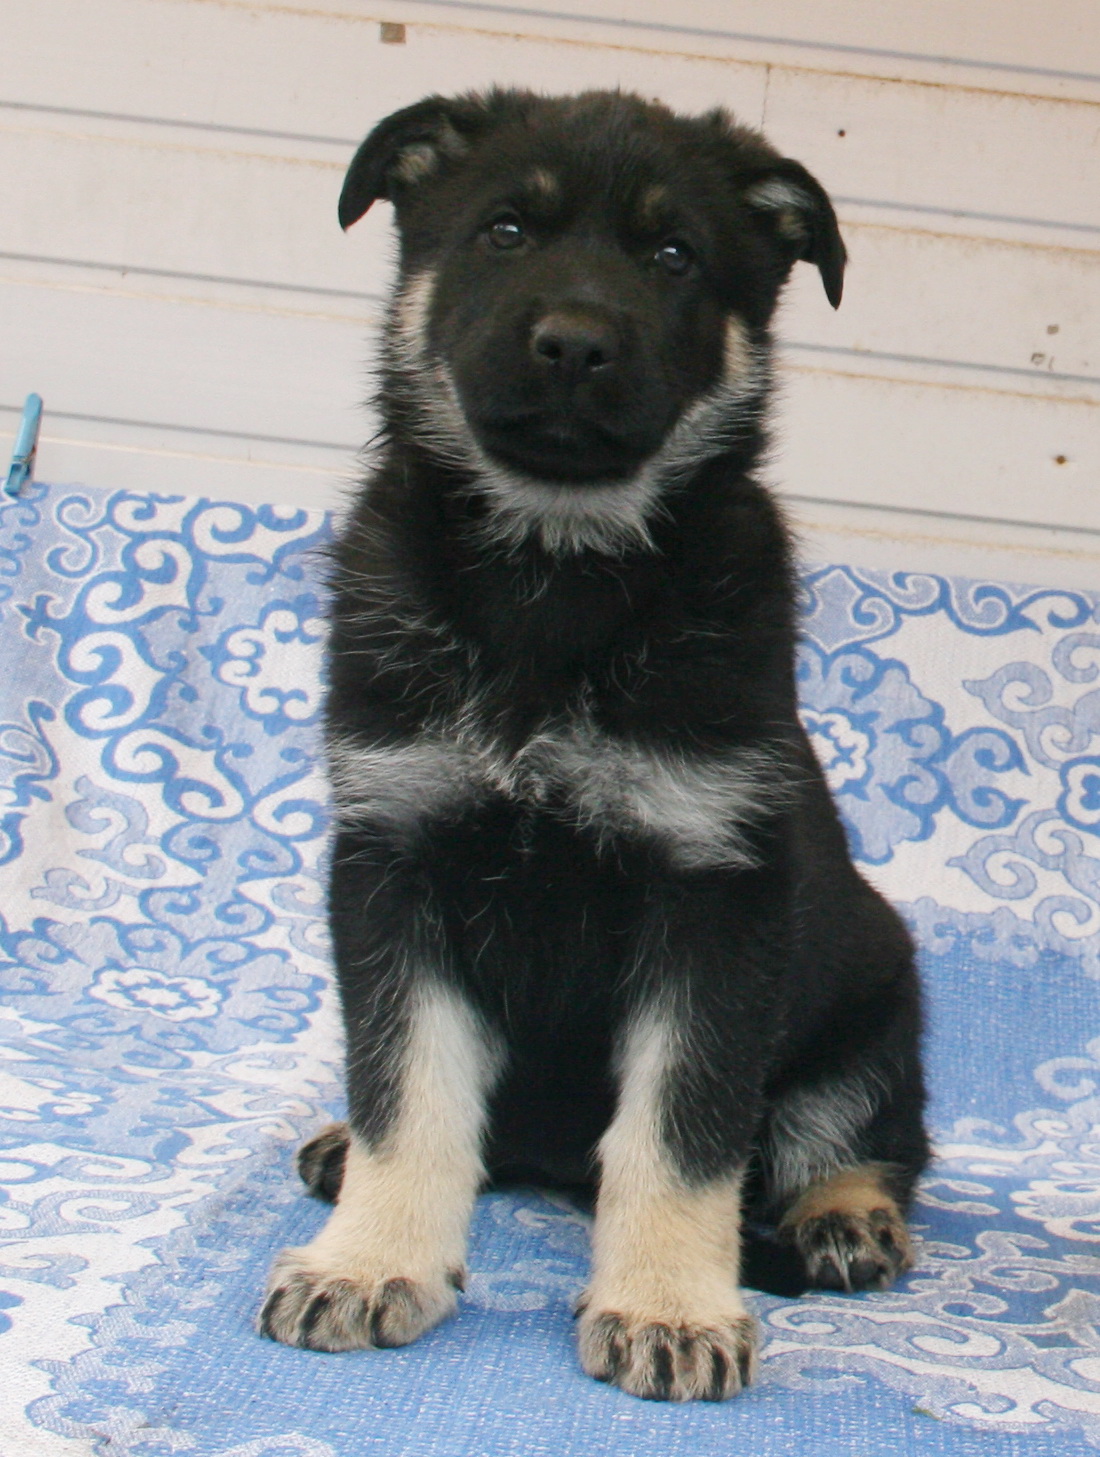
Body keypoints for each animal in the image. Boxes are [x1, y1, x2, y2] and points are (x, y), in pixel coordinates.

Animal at [258, 89, 930, 1403]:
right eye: (505, 230)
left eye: (672, 255)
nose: (572, 344)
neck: (552, 572)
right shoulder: (395, 862)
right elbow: (405, 1085)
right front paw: (370, 1258)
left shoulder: (712, 898)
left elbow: (682, 1127)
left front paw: (668, 1304)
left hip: (877, 1001)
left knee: (866, 1135)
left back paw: (843, 1212)